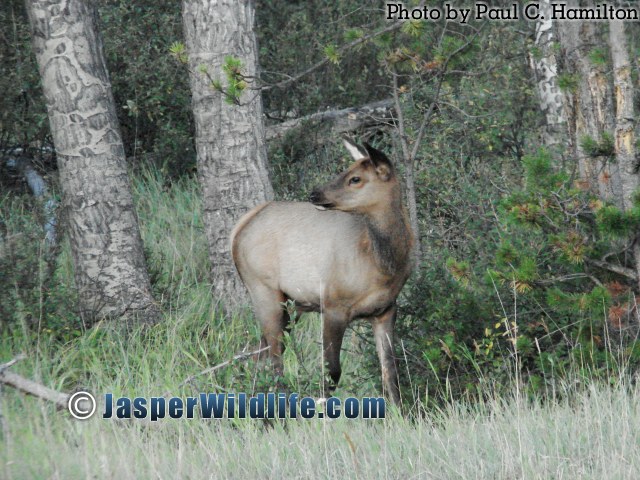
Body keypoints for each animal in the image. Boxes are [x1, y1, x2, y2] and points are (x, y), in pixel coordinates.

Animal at [230, 138, 413, 404]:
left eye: (355, 178)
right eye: (345, 171)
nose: (315, 193)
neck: (383, 264)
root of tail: (239, 227)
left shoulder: (386, 309)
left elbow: (390, 371)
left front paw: (399, 412)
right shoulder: (333, 305)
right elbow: (332, 372)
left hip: (291, 305)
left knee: (257, 355)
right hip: (263, 291)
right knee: (274, 359)